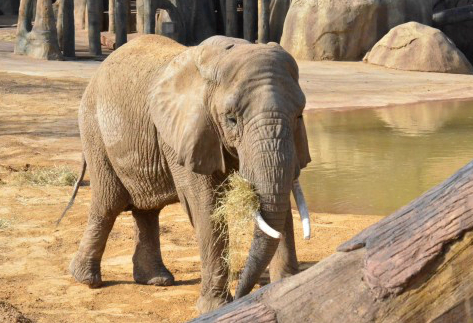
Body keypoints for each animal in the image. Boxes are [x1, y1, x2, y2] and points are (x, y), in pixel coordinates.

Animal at [66, 33, 310, 314]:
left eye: (299, 116)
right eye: (231, 119)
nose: (242, 295)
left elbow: (282, 207)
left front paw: (287, 287)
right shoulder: (184, 132)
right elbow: (204, 206)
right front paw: (213, 308)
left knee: (146, 210)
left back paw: (156, 280)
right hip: (94, 130)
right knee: (108, 204)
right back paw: (87, 280)